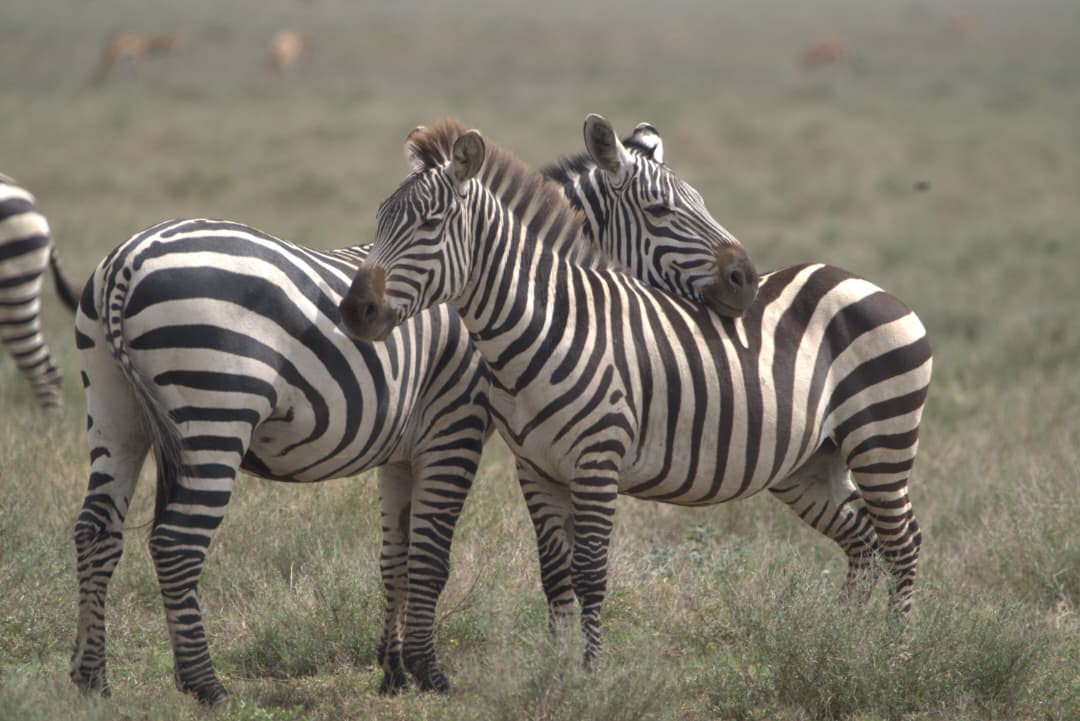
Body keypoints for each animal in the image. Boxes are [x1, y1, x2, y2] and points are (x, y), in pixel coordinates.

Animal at [69, 219, 491, 702]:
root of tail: (128, 258)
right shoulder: (455, 424)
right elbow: (429, 559)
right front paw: (427, 673)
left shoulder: (400, 454)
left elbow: (395, 560)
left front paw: (393, 671)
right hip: (216, 407)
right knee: (176, 544)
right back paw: (206, 685)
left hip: (113, 409)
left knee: (95, 532)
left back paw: (92, 677)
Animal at [339, 120, 932, 668]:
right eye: (380, 220)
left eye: (429, 224)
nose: (354, 310)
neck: (550, 324)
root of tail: (861, 281)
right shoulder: (535, 467)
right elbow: (554, 574)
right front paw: (555, 671)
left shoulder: (597, 461)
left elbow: (590, 573)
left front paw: (589, 673)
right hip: (811, 461)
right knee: (863, 539)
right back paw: (839, 644)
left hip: (881, 436)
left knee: (902, 542)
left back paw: (895, 657)